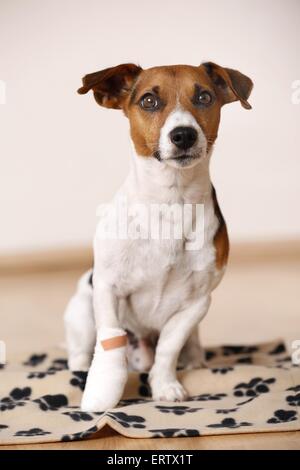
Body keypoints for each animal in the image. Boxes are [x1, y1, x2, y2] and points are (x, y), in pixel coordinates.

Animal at [63, 62, 253, 412]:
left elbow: (168, 347)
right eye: (149, 101)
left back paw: (195, 361)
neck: (170, 201)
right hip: (82, 311)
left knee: (187, 347)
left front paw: (165, 386)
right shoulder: (107, 288)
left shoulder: (197, 303)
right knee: (81, 351)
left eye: (204, 97)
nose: (184, 134)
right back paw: (80, 368)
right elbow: (110, 337)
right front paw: (102, 394)